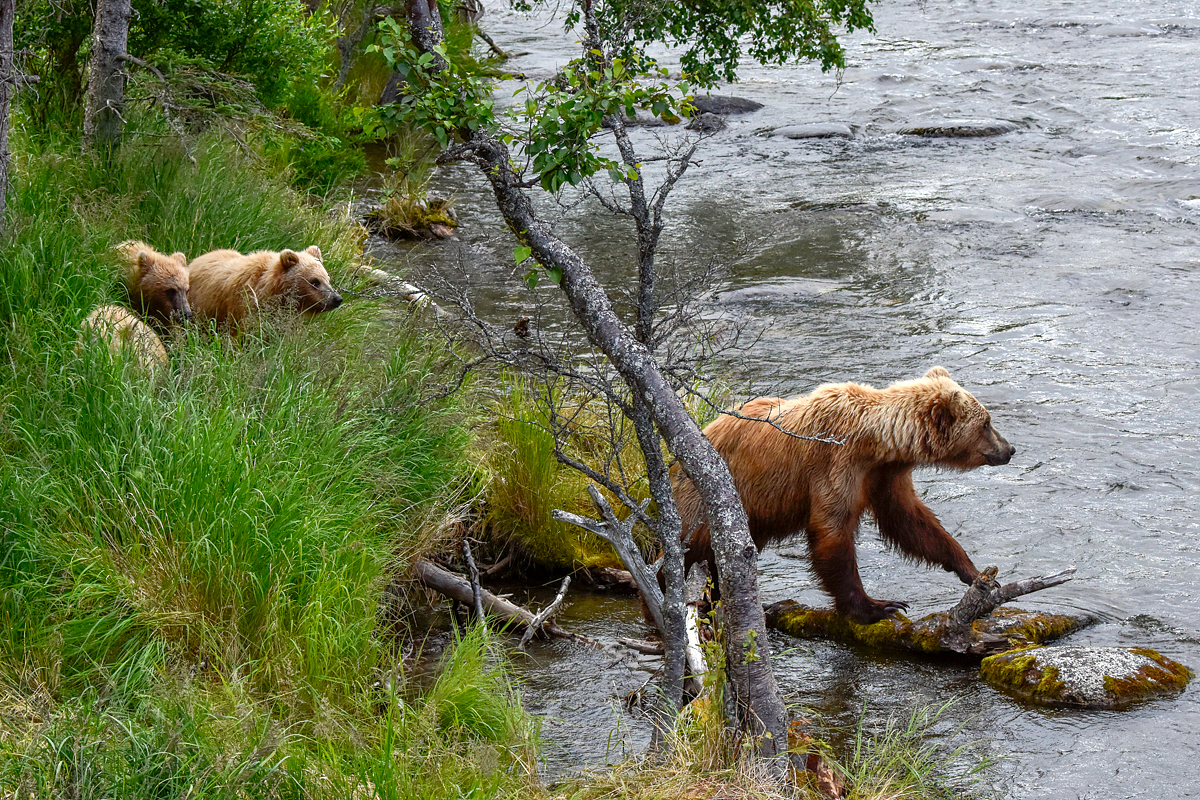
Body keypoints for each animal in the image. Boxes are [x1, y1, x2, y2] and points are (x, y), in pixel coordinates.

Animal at [672, 367, 1017, 623]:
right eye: (986, 423)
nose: (1010, 449)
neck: (876, 444)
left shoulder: (884, 476)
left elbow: (910, 521)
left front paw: (973, 571)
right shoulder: (837, 463)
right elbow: (832, 531)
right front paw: (877, 606)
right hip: (708, 501)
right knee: (693, 553)